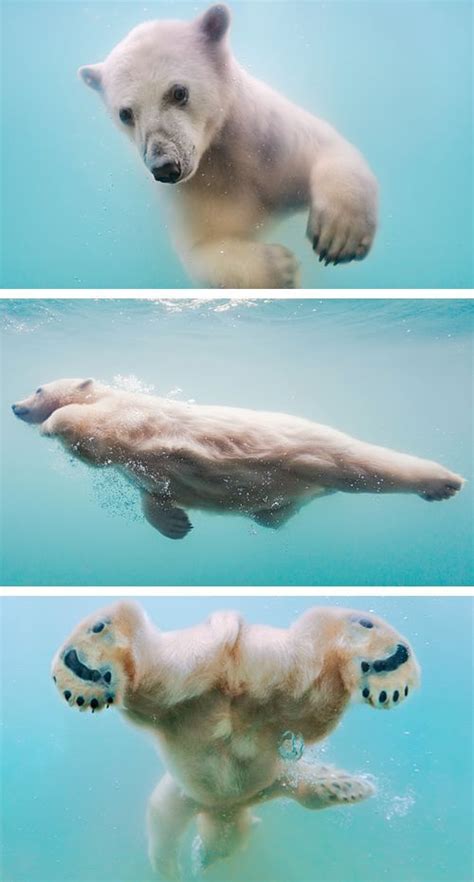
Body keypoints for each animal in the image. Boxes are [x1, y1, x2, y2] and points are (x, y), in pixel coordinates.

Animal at [12, 376, 464, 536]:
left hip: (313, 449)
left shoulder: (130, 417)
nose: (15, 407)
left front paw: (53, 424)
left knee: (366, 467)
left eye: (37, 387)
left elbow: (95, 434)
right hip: (291, 488)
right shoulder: (137, 468)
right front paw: (176, 524)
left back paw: (442, 482)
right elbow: (153, 494)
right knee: (276, 514)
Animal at [51, 600, 420, 876]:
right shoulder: (198, 796)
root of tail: (231, 641)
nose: (202, 857)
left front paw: (343, 785)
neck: (227, 808)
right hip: (193, 683)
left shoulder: (258, 786)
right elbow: (165, 830)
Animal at [79, 5, 380, 288]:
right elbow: (204, 246)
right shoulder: (196, 191)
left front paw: (340, 235)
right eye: (125, 113)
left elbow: (327, 148)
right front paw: (281, 269)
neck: (224, 152)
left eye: (179, 92)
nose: (164, 167)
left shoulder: (270, 139)